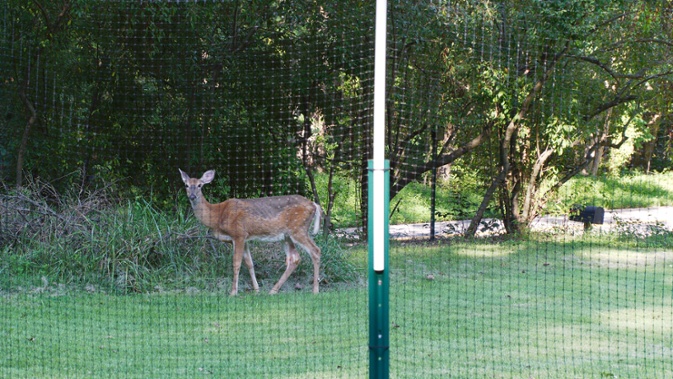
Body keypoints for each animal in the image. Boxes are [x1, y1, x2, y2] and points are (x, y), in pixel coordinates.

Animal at [178, 169, 320, 296]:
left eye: (199, 185)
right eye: (186, 185)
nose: (192, 196)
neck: (217, 215)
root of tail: (315, 205)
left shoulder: (239, 234)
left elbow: (236, 263)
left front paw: (233, 293)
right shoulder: (243, 238)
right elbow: (249, 263)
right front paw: (256, 290)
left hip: (298, 229)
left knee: (315, 251)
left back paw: (315, 290)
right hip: (286, 236)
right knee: (294, 258)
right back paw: (273, 291)